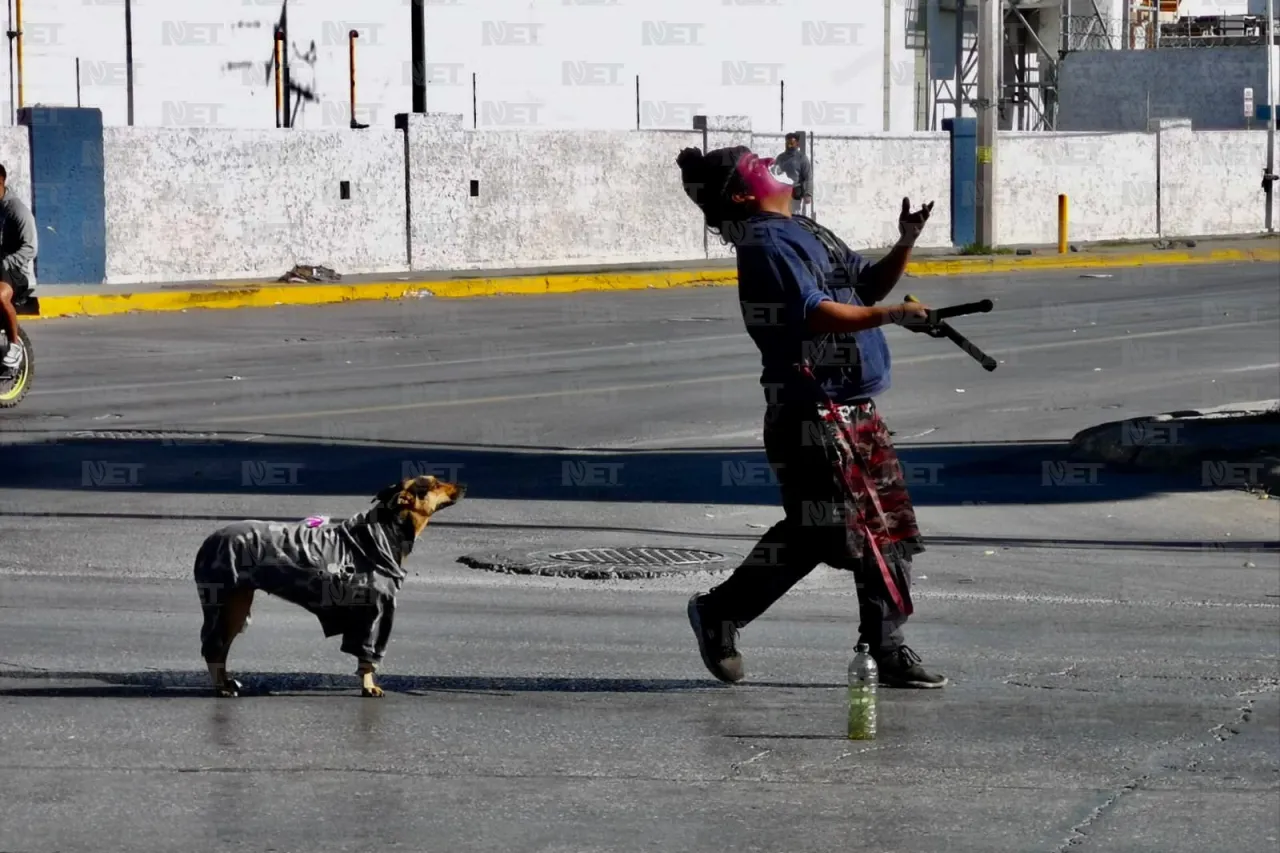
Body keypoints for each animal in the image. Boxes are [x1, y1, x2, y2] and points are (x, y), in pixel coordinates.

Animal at [194, 471, 465, 696]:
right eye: (435, 484)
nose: (464, 485)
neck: (385, 532)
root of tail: (209, 540)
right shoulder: (374, 615)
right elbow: (367, 658)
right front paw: (368, 686)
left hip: (237, 607)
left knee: (220, 649)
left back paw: (226, 683)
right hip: (226, 604)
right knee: (214, 648)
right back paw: (221, 687)